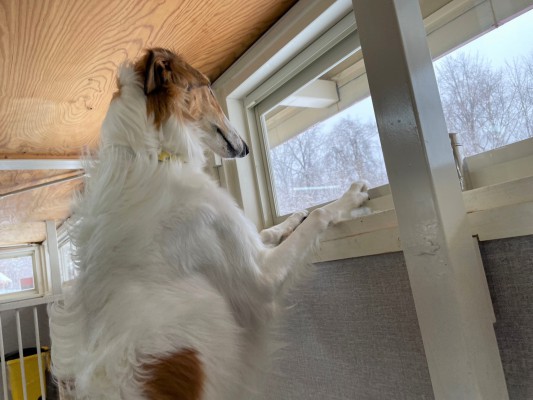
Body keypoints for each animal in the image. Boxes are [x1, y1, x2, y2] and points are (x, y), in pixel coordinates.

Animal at [48, 48, 366, 398]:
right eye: (210, 90)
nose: (246, 148)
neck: (151, 155)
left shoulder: (241, 238)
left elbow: (269, 230)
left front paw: (296, 215)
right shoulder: (261, 279)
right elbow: (322, 215)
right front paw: (349, 198)